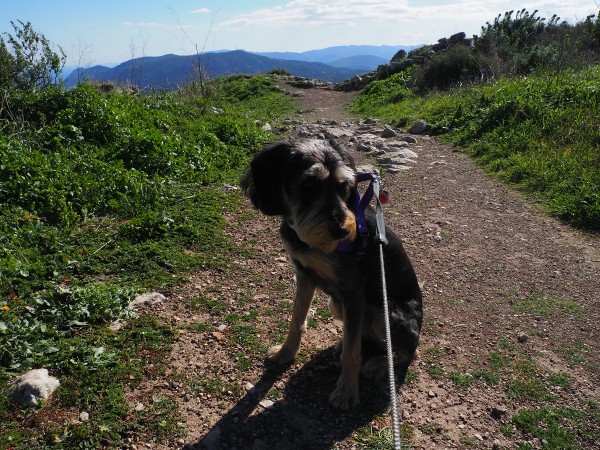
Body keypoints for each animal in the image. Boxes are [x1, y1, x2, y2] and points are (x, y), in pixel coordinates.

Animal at [241, 138, 423, 409]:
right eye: (309, 184)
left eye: (343, 186)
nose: (342, 231)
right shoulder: (304, 274)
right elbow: (297, 320)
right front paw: (285, 352)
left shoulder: (353, 290)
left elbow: (352, 353)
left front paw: (346, 391)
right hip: (336, 304)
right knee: (361, 335)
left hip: (386, 312)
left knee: (403, 353)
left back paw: (379, 363)